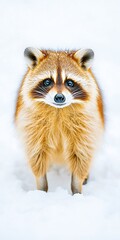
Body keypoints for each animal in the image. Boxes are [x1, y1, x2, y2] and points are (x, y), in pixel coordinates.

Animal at [14, 47, 104, 194]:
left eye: (70, 83)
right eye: (47, 82)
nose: (59, 97)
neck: (58, 110)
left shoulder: (86, 123)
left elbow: (81, 154)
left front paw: (77, 188)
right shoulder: (32, 124)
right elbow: (36, 154)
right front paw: (41, 188)